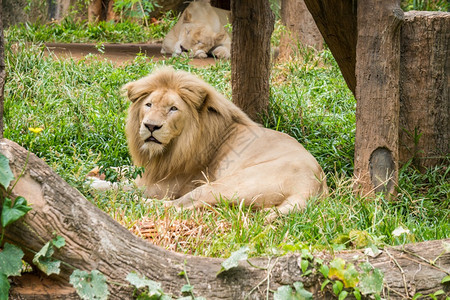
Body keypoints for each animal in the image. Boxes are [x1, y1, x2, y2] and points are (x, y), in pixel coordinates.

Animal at [123, 68, 326, 220]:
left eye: (173, 108)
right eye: (149, 104)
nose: (151, 126)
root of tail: (312, 184)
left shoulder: (162, 185)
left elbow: (122, 185)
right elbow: (122, 170)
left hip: (223, 185)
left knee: (179, 205)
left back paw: (140, 202)